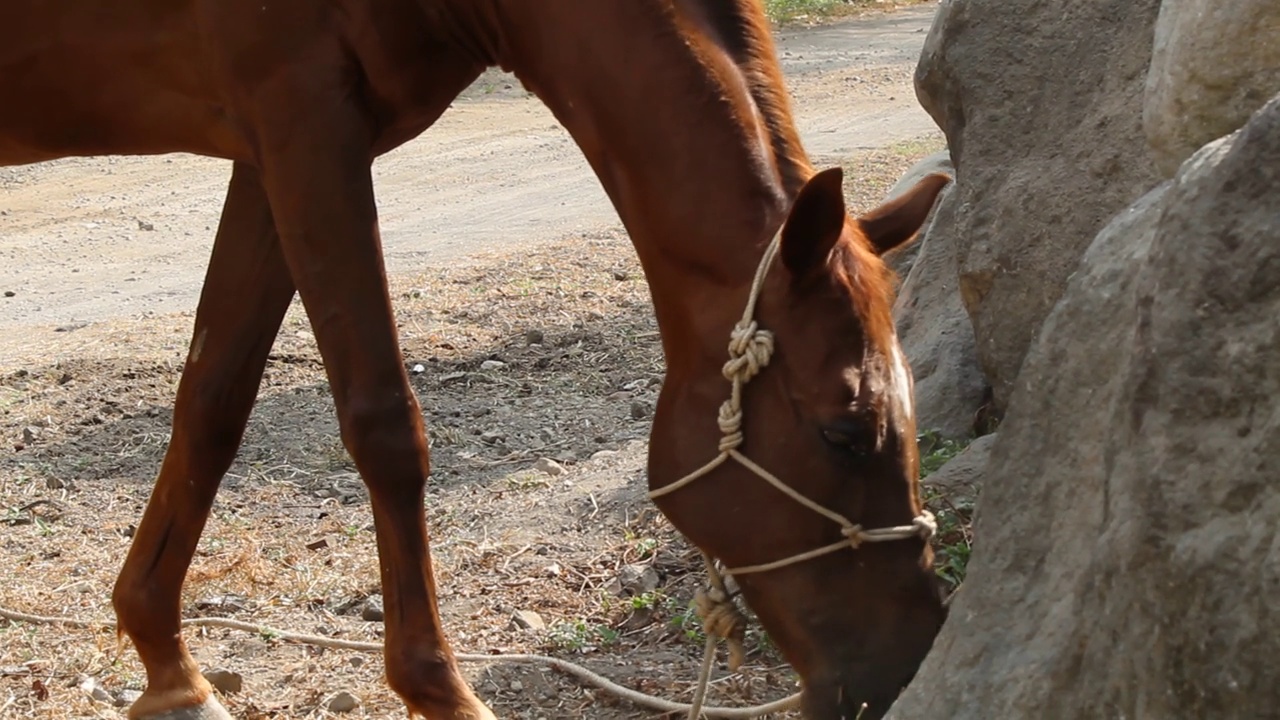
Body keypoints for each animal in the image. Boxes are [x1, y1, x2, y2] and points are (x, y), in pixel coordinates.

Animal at [2, 1, 952, 717]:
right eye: (844, 431)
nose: (908, 662)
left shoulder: (265, 152)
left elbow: (213, 403)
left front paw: (170, 669)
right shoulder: (305, 127)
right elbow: (386, 424)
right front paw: (443, 692)